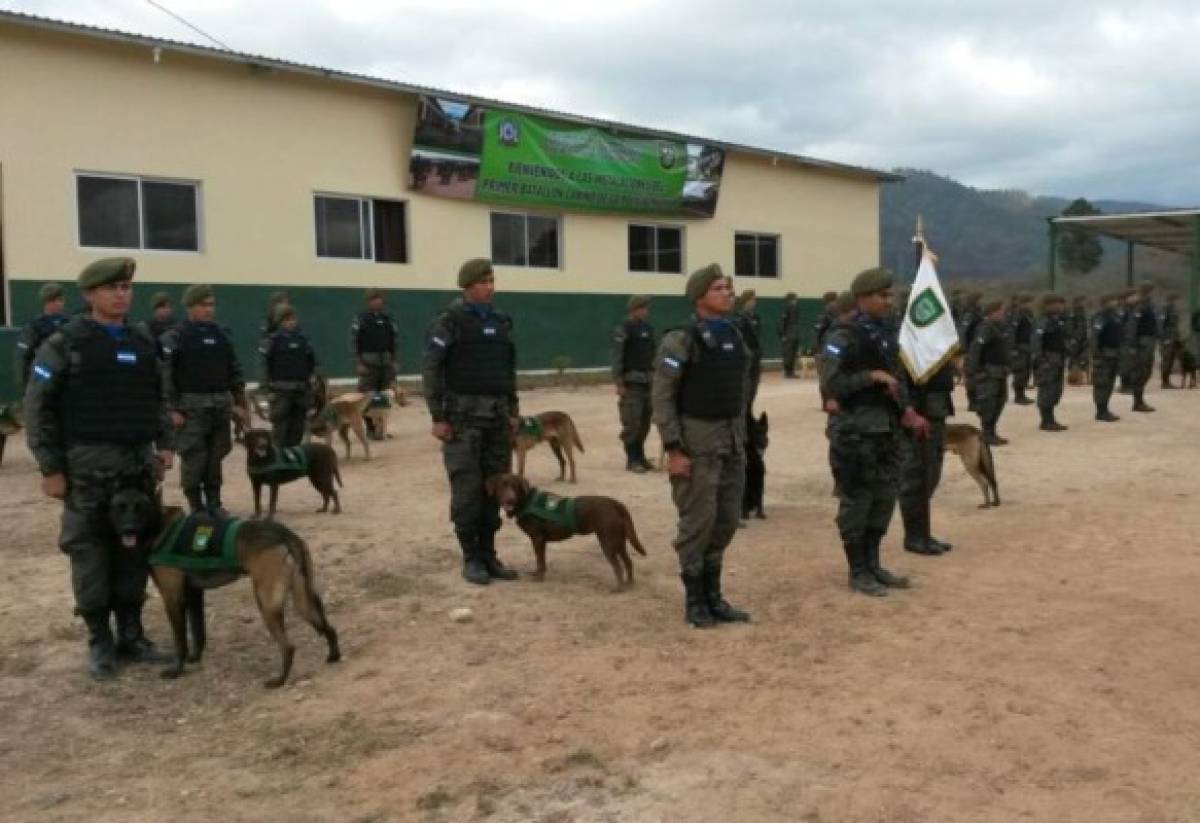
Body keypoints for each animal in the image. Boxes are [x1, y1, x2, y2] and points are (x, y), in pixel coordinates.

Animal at [105, 484, 340, 691]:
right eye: (120, 507)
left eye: (139, 507)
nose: (128, 529)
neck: (159, 524)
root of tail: (283, 533)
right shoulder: (193, 594)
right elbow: (198, 631)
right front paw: (194, 658)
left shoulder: (172, 598)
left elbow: (180, 640)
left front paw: (177, 670)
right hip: (304, 599)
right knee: (329, 628)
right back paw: (333, 656)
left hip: (266, 602)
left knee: (288, 646)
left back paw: (279, 680)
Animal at [484, 475, 648, 590]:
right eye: (502, 486)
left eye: (515, 486)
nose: (510, 499)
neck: (526, 501)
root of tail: (615, 503)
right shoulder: (540, 541)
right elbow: (541, 561)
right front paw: (537, 574)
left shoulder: (537, 539)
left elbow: (540, 560)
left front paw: (539, 578)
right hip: (619, 541)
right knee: (628, 562)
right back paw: (629, 584)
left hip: (608, 542)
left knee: (618, 566)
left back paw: (619, 588)